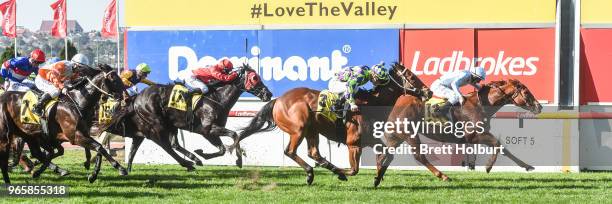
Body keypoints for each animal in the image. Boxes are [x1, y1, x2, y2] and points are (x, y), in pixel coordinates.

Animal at [92, 63, 270, 172]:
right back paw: (189, 162)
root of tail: (137, 98)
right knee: (166, 145)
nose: (268, 94)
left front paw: (202, 154)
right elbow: (233, 136)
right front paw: (237, 159)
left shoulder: (209, 132)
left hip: (170, 125)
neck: (217, 98)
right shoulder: (208, 129)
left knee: (172, 144)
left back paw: (193, 159)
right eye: (255, 78)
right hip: (157, 124)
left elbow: (223, 148)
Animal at [228, 62, 426, 185]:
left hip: (311, 130)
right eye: (411, 77)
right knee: (290, 151)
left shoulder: (370, 140)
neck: (371, 104)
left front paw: (377, 178)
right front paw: (343, 173)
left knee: (314, 153)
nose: (428, 92)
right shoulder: (354, 144)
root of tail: (277, 100)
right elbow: (354, 170)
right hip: (299, 128)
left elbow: (388, 155)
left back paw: (322, 170)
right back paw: (313, 173)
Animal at [376, 79, 544, 187]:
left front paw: (527, 166)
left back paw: (377, 178)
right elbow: (498, 144)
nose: (539, 106)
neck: (481, 105)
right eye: (526, 92)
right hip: (409, 134)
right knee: (419, 156)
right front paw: (488, 166)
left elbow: (503, 149)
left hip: (396, 136)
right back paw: (443, 176)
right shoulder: (474, 136)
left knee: (384, 155)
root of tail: (399, 100)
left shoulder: (477, 136)